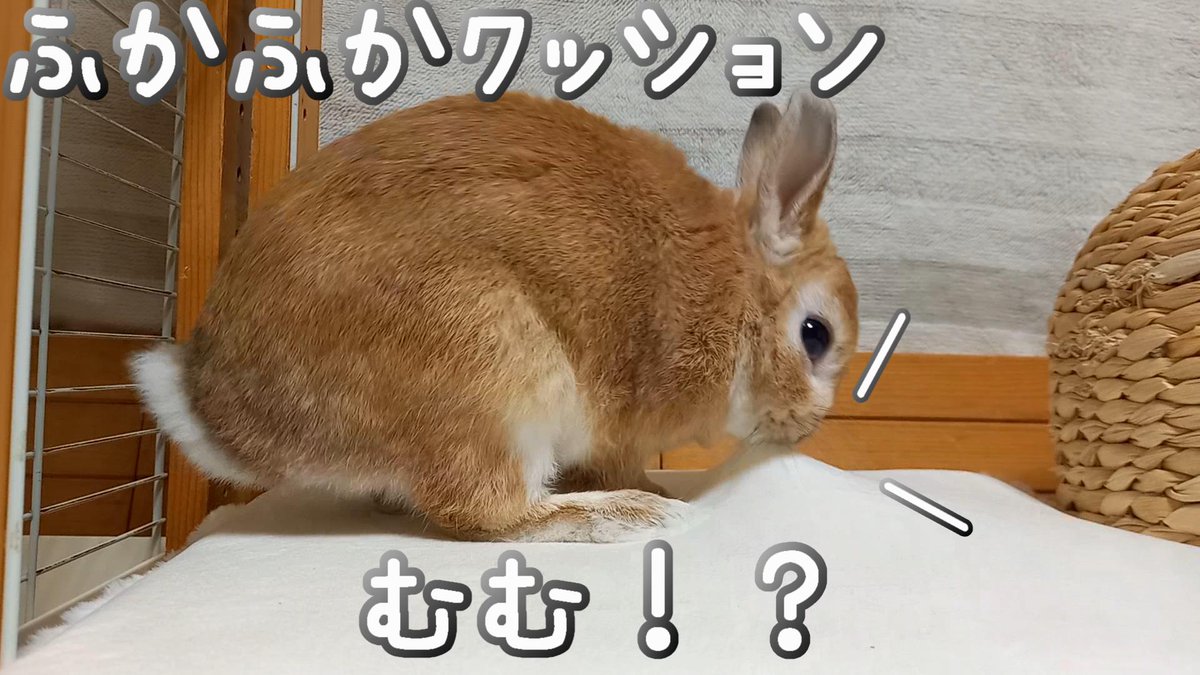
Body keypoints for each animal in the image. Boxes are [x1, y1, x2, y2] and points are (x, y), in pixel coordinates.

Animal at [130, 86, 859, 543]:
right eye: (815, 335)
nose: (805, 427)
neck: (736, 290)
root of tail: (220, 414)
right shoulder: (619, 422)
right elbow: (614, 463)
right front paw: (660, 492)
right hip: (495, 374)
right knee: (486, 512)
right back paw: (632, 516)